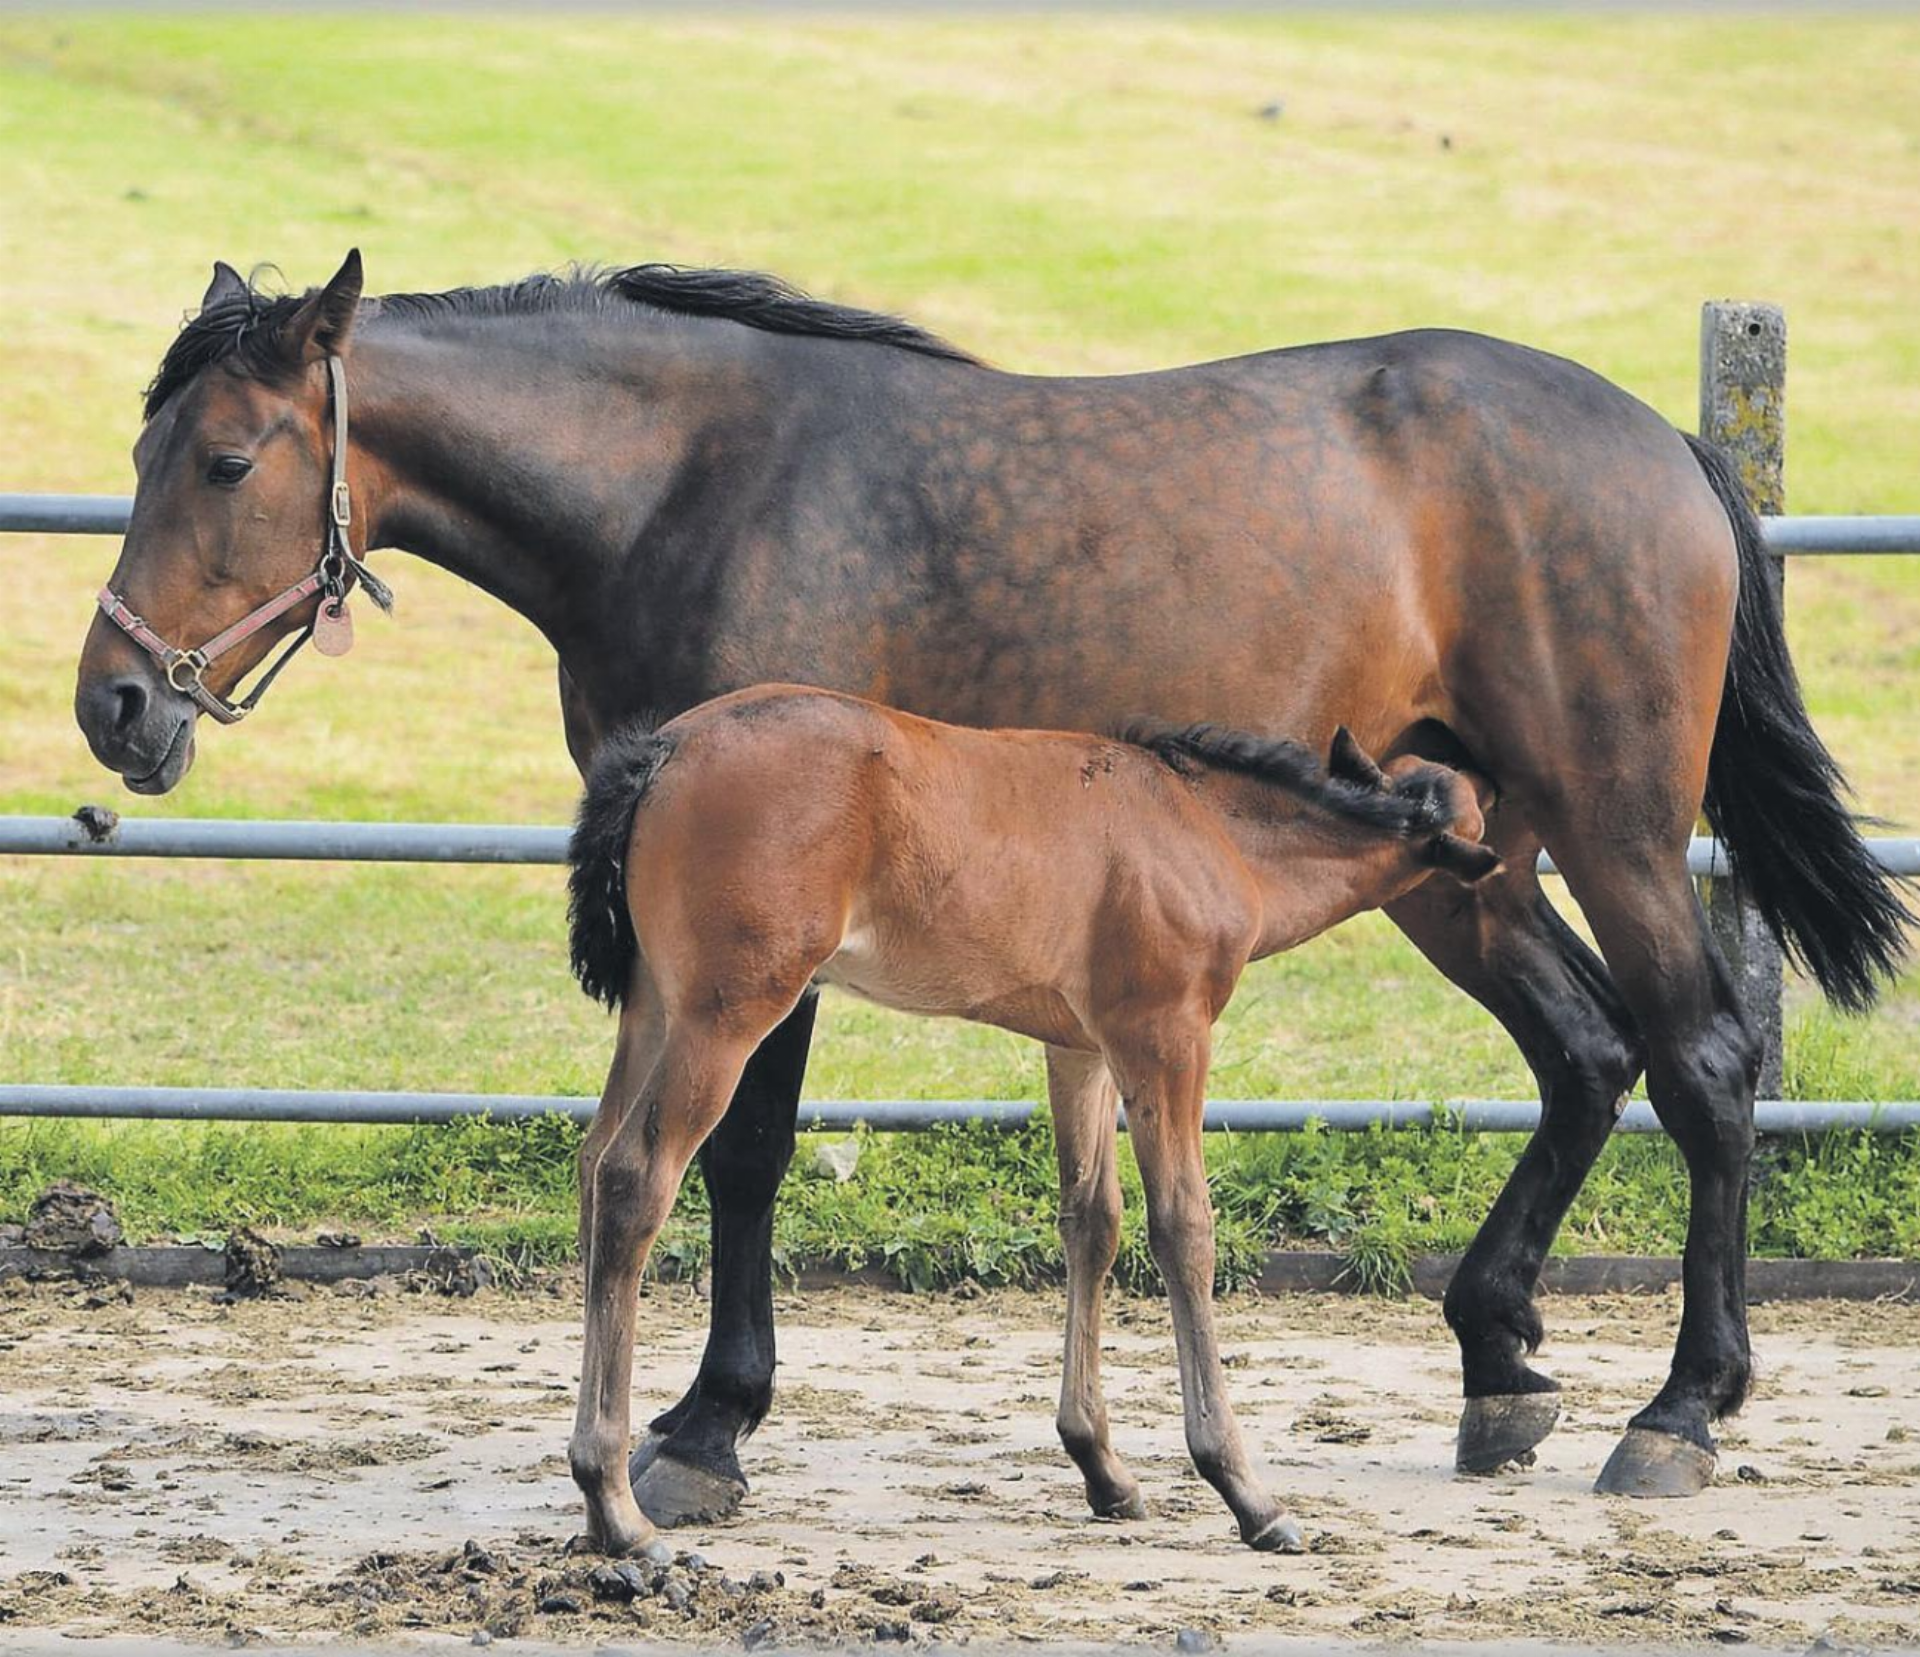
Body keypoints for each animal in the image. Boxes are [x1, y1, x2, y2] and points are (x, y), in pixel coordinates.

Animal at [561, 685, 1501, 1554]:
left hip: (655, 1009)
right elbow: (1184, 1230)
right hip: (727, 1013)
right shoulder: (1166, 1035)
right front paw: (1245, 1489)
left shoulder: (1083, 1048)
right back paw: (617, 1506)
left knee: (594, 1164)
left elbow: (1093, 1220)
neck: (1206, 826)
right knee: (635, 1179)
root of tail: (668, 747)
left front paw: (1103, 1468)